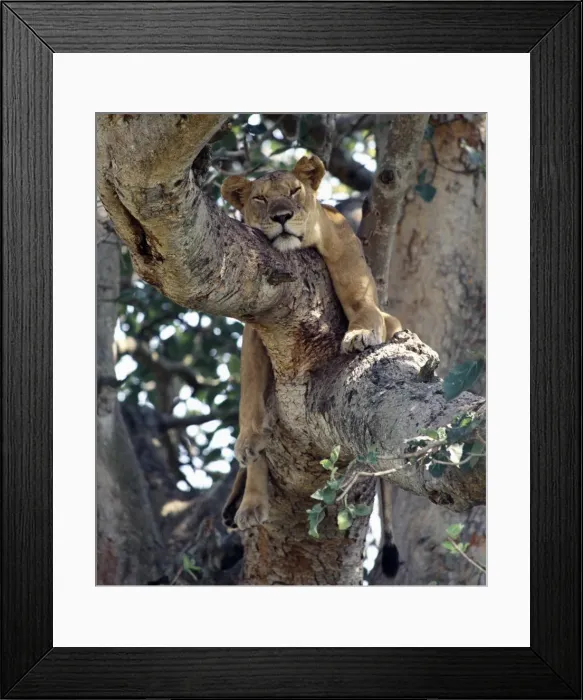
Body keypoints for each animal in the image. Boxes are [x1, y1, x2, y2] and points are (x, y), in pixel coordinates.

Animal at [220, 154, 402, 531]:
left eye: (294, 191)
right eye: (260, 199)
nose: (282, 217)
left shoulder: (355, 272)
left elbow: (364, 306)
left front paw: (360, 335)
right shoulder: (254, 328)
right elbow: (248, 389)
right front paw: (247, 439)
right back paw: (250, 504)